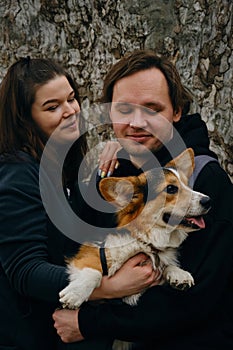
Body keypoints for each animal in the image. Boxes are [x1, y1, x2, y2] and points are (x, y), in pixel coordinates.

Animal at [59, 148, 211, 308]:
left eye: (188, 185)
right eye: (171, 188)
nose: (208, 201)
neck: (143, 242)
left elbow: (166, 265)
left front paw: (179, 273)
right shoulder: (89, 254)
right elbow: (94, 273)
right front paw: (75, 293)